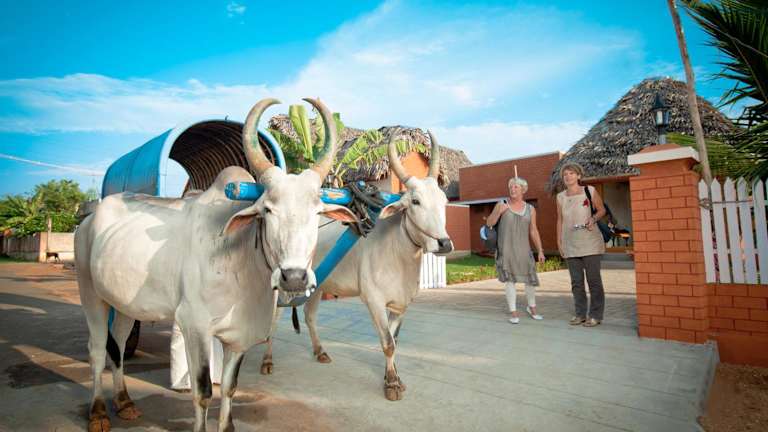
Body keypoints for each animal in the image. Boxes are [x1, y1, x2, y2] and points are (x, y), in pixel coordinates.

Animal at [74, 97, 357, 432]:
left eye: (317, 212)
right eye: (267, 210)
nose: (295, 277)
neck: (243, 264)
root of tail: (89, 218)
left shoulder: (238, 337)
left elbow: (230, 387)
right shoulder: (194, 326)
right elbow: (204, 392)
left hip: (124, 303)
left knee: (116, 345)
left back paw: (125, 401)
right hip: (90, 293)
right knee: (96, 350)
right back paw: (98, 412)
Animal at [259, 130, 453, 401]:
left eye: (444, 201)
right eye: (415, 201)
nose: (444, 243)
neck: (398, 252)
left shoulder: (400, 305)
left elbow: (394, 340)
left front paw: (394, 378)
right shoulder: (374, 300)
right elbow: (387, 343)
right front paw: (392, 384)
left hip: (317, 287)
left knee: (309, 316)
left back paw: (320, 351)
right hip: (285, 283)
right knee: (274, 319)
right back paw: (267, 360)